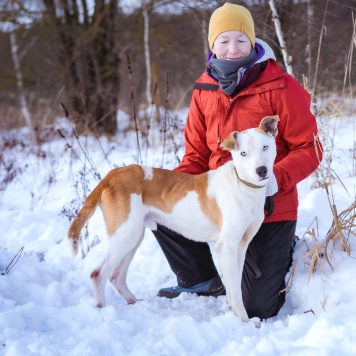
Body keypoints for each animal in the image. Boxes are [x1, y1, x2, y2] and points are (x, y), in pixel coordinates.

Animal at [66, 115, 278, 322]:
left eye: (265, 147)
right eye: (243, 153)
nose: (261, 170)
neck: (242, 184)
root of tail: (113, 174)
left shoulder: (240, 245)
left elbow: (235, 284)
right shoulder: (226, 246)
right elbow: (234, 291)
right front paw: (244, 321)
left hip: (133, 236)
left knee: (116, 276)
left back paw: (134, 302)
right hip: (126, 234)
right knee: (98, 274)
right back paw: (103, 312)